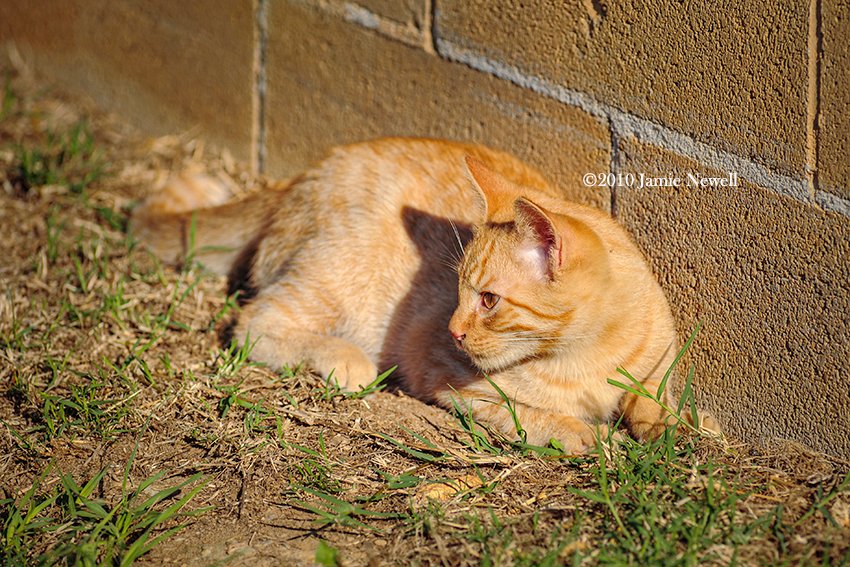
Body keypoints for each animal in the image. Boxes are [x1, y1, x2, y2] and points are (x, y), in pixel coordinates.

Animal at [129, 138, 704, 452]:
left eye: (488, 299)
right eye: (457, 290)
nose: (454, 330)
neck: (585, 355)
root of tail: (302, 176)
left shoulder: (658, 369)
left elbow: (658, 403)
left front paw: (687, 432)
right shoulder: (444, 375)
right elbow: (525, 413)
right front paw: (579, 431)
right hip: (335, 283)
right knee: (253, 324)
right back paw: (345, 360)